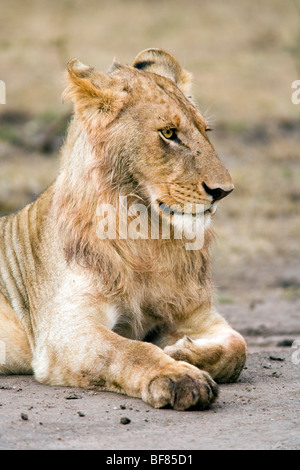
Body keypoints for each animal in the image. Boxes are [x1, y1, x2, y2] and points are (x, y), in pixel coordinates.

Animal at [0, 49, 246, 410]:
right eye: (168, 133)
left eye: (206, 129)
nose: (223, 191)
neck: (147, 235)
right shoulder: (65, 332)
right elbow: (131, 351)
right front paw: (180, 375)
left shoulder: (198, 314)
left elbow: (238, 346)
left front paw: (181, 351)